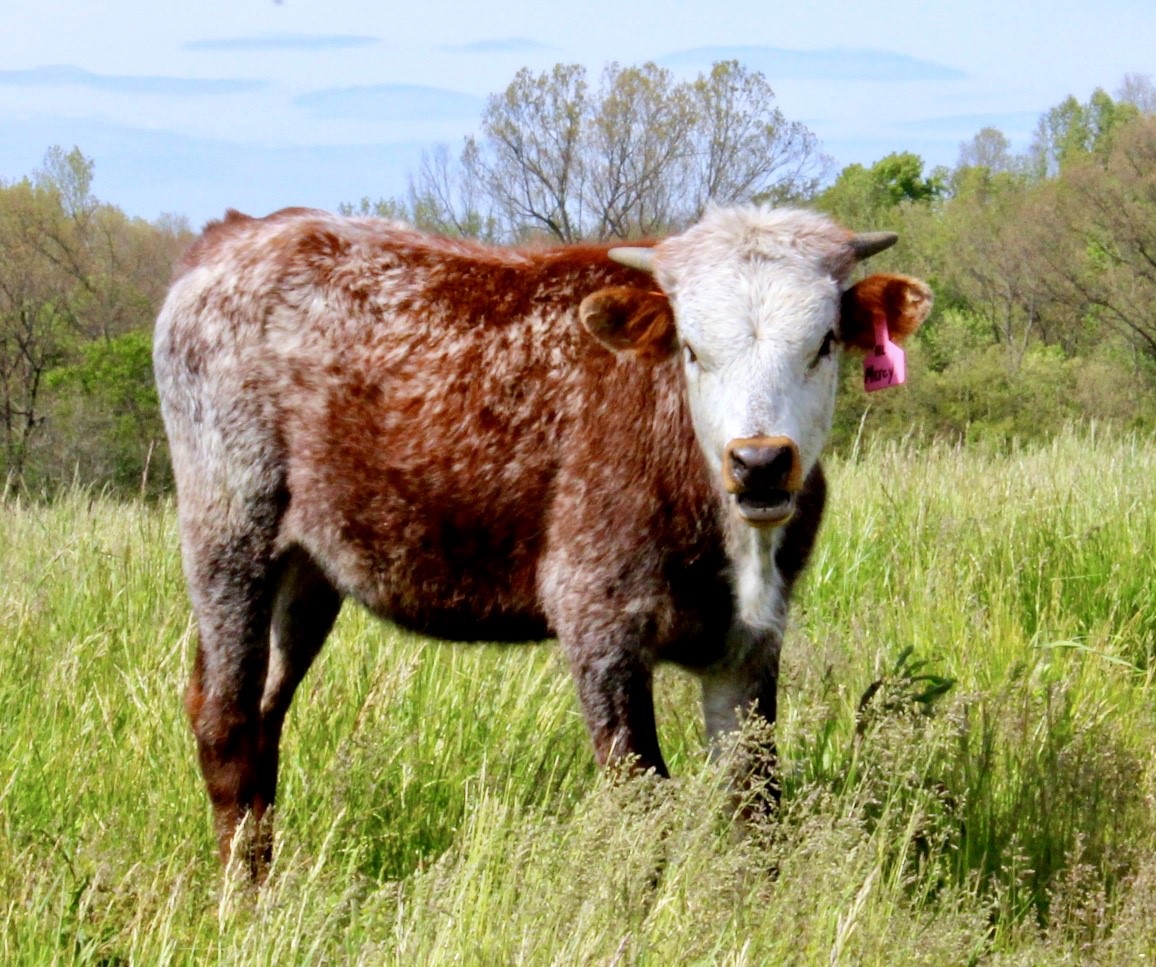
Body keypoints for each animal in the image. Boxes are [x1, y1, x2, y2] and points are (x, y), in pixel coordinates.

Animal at [153, 204, 931, 878]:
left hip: (307, 571)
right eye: (691, 348)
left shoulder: (751, 640)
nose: (761, 461)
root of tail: (241, 232)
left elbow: (756, 799)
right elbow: (639, 798)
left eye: (823, 343)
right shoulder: (598, 615)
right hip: (229, 529)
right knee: (224, 721)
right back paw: (243, 903)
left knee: (263, 718)